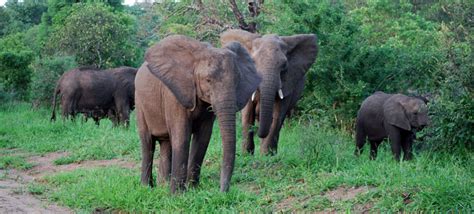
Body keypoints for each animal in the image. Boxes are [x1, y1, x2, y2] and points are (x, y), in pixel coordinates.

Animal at [135, 34, 262, 192]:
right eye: (208, 80)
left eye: (237, 81)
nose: (222, 192)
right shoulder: (174, 96)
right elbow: (182, 136)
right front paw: (177, 194)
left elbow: (203, 138)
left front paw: (193, 190)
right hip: (139, 103)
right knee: (147, 143)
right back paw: (147, 188)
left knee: (166, 143)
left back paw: (162, 185)